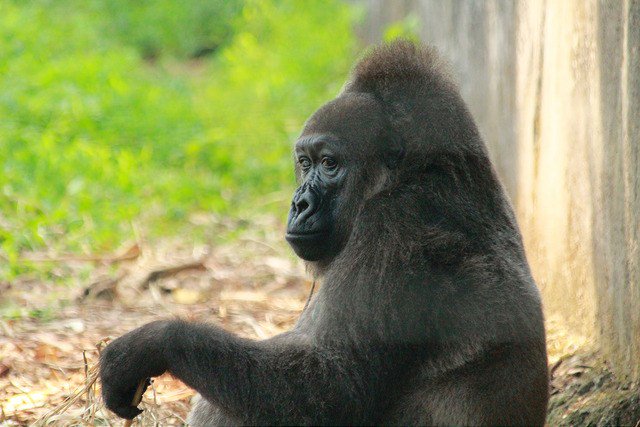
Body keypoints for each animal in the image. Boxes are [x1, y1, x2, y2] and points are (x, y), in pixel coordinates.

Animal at [100, 40, 549, 425]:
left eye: (330, 163)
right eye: (305, 162)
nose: (299, 204)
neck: (416, 171)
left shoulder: (393, 227)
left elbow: (332, 390)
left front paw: (156, 341)